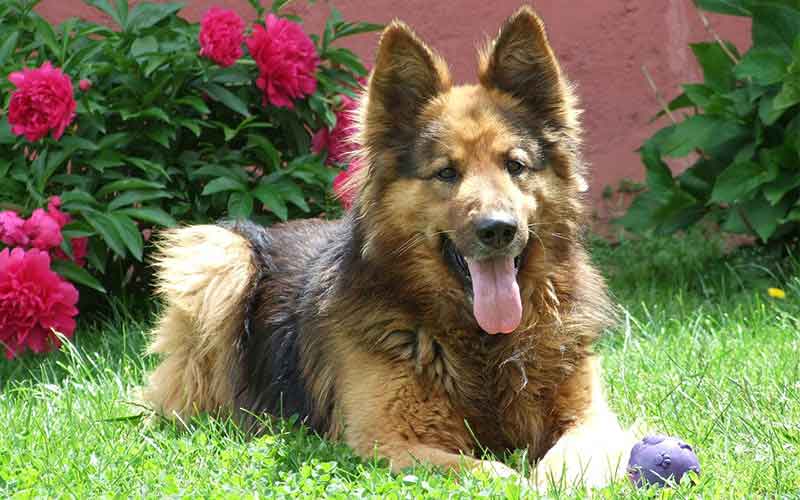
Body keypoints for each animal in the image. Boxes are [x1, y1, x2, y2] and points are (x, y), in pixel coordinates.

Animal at [142, 5, 632, 490]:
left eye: (515, 166)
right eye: (446, 172)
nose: (498, 230)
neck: (483, 344)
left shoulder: (593, 419)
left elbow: (568, 458)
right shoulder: (390, 439)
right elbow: (493, 472)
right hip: (220, 254)